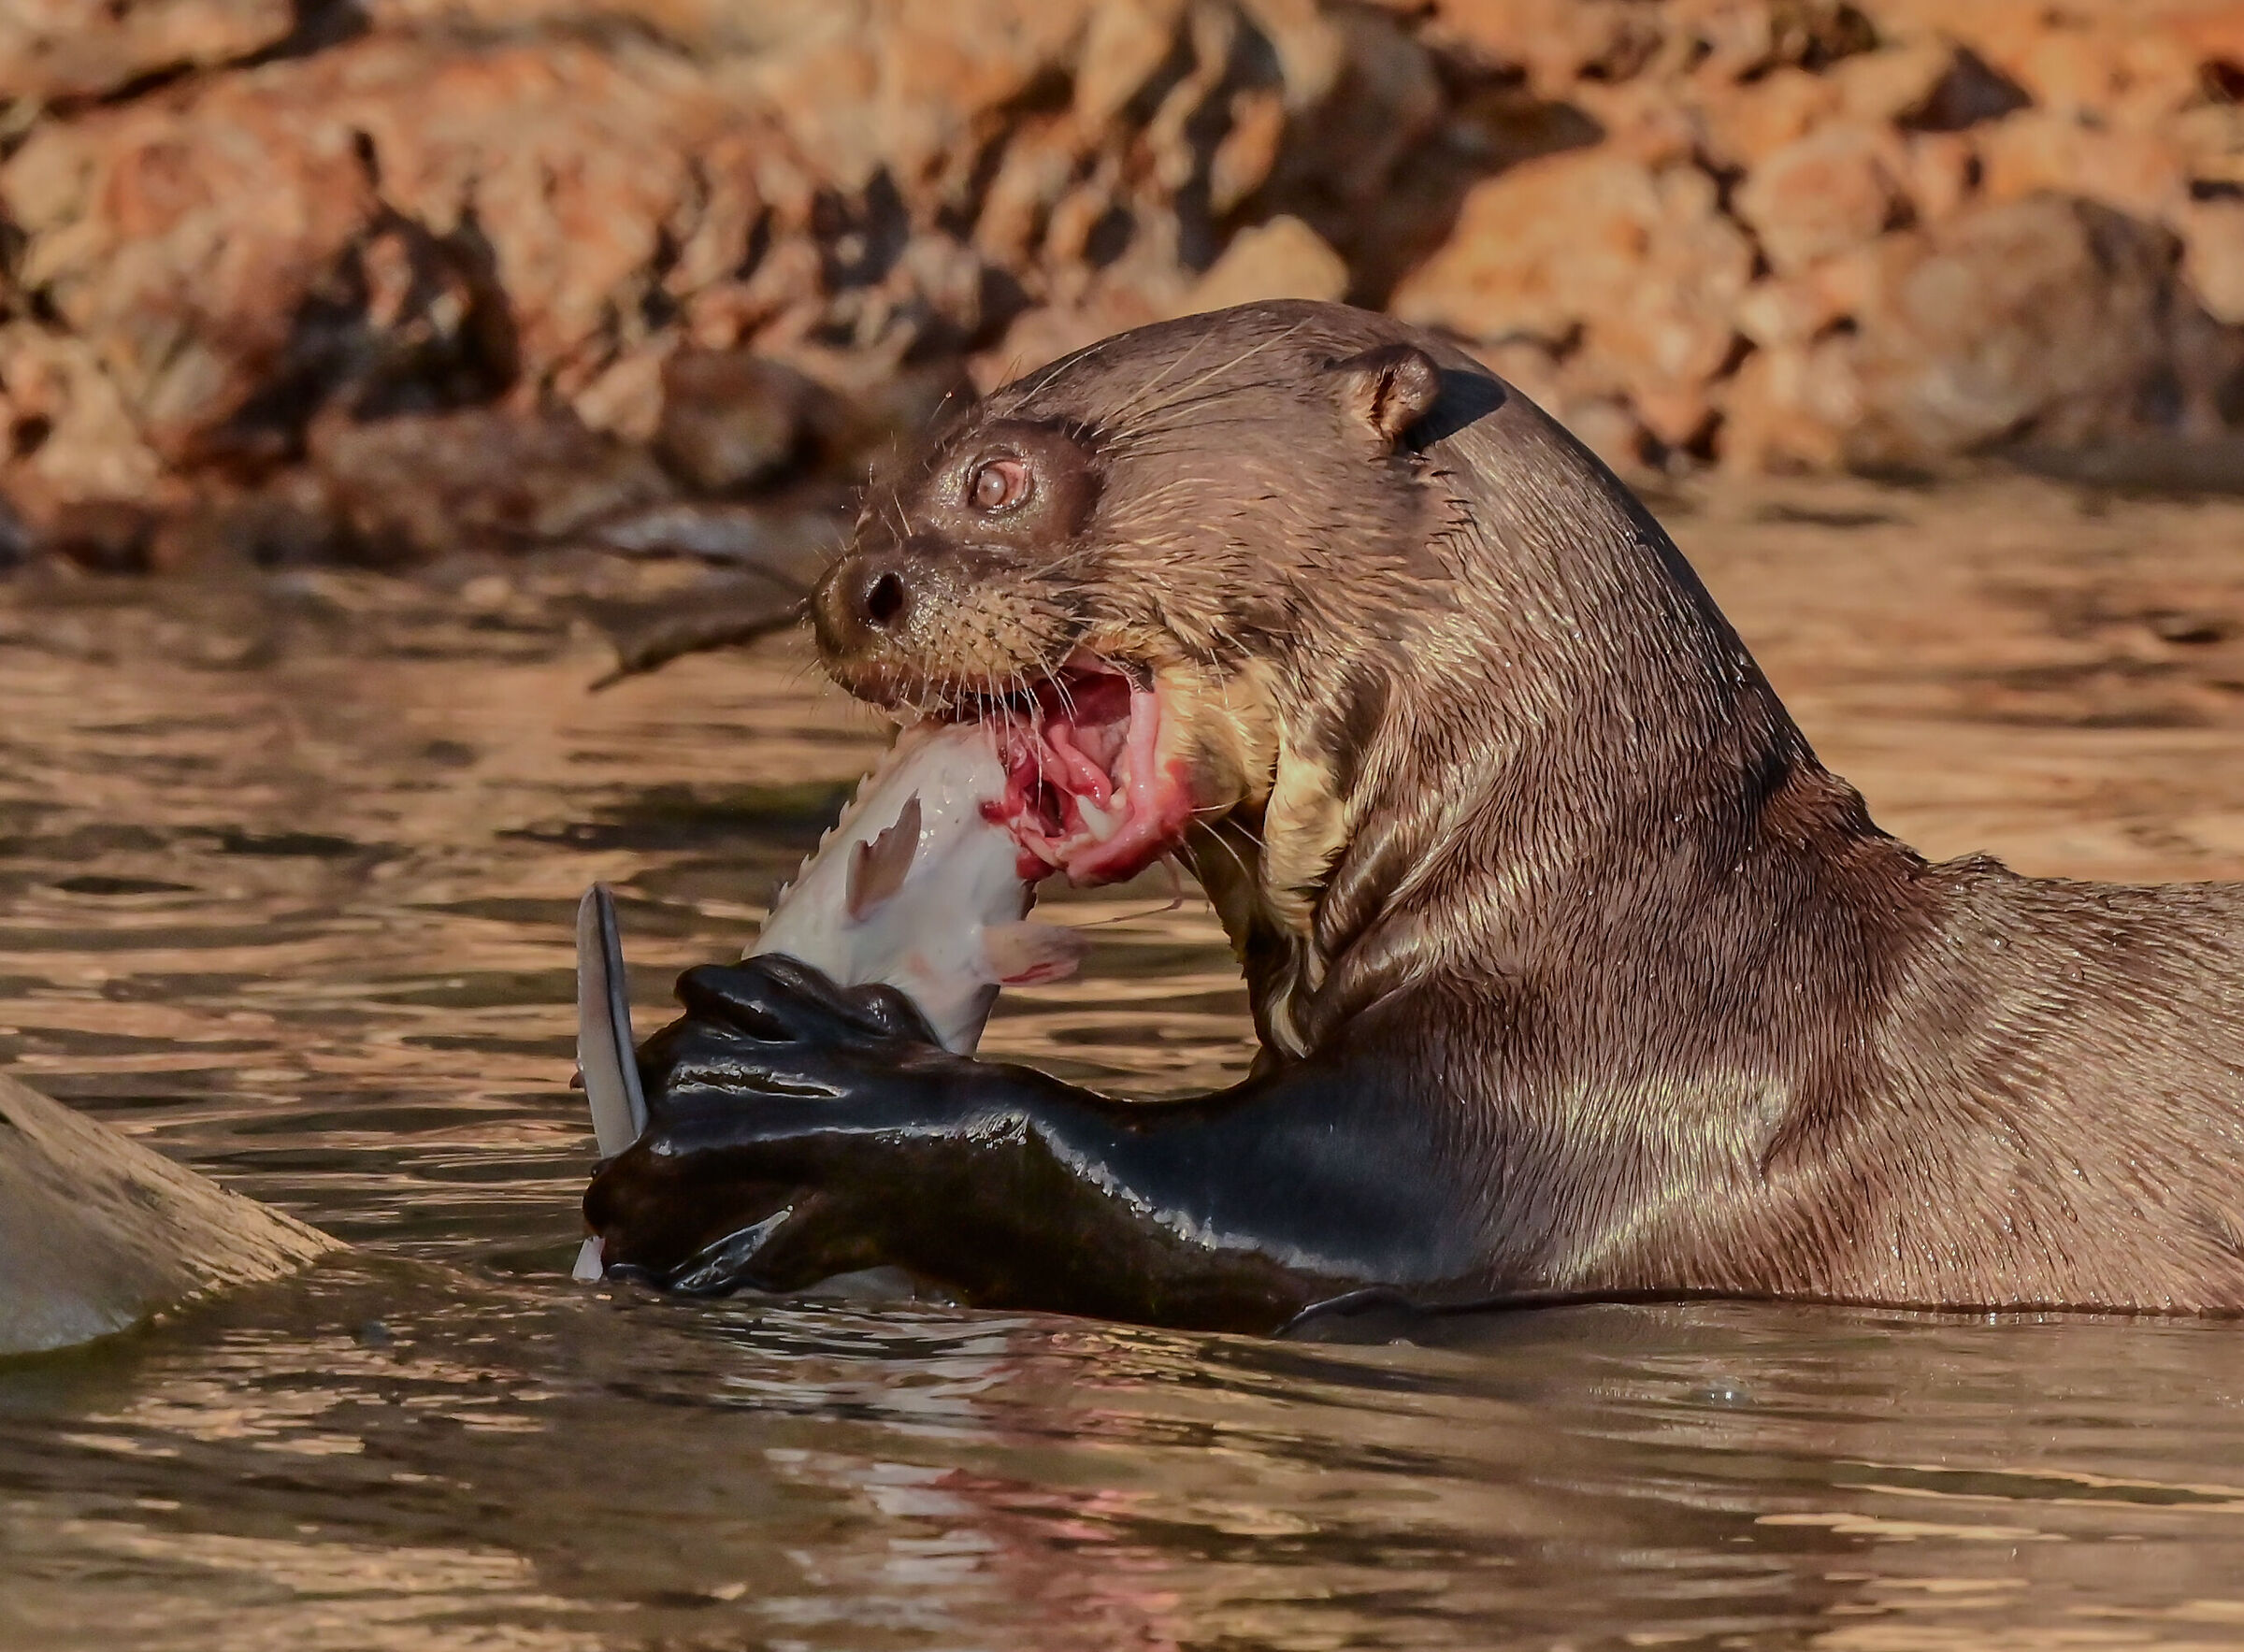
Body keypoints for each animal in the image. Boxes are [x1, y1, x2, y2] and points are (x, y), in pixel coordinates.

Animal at [583, 299, 2244, 1332]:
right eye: (891, 477)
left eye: (1000, 479)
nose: (851, 588)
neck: (1604, 902)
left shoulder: (1572, 1117)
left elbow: (1144, 1181)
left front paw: (793, 1078)